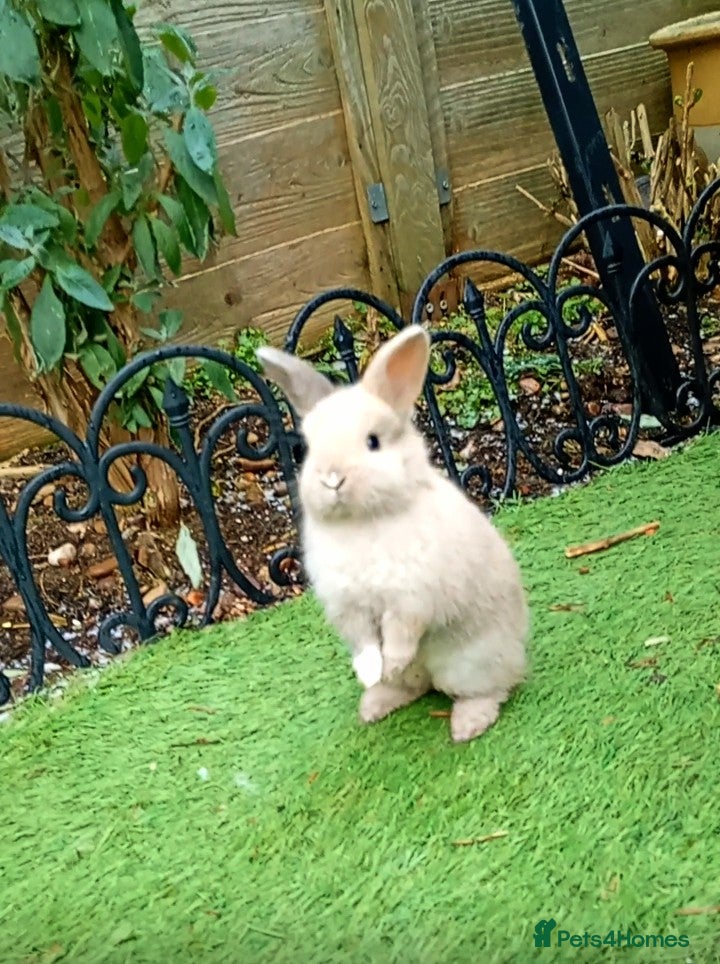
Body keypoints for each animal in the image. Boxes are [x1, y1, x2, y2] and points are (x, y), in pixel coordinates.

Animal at [256, 325, 529, 743]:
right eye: (308, 449)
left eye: (373, 442)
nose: (332, 478)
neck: (362, 521)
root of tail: (518, 651)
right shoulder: (348, 606)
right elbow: (364, 642)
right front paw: (370, 671)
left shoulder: (411, 596)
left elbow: (401, 632)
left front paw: (392, 662)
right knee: (414, 688)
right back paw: (374, 701)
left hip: (471, 664)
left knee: (493, 689)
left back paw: (466, 725)